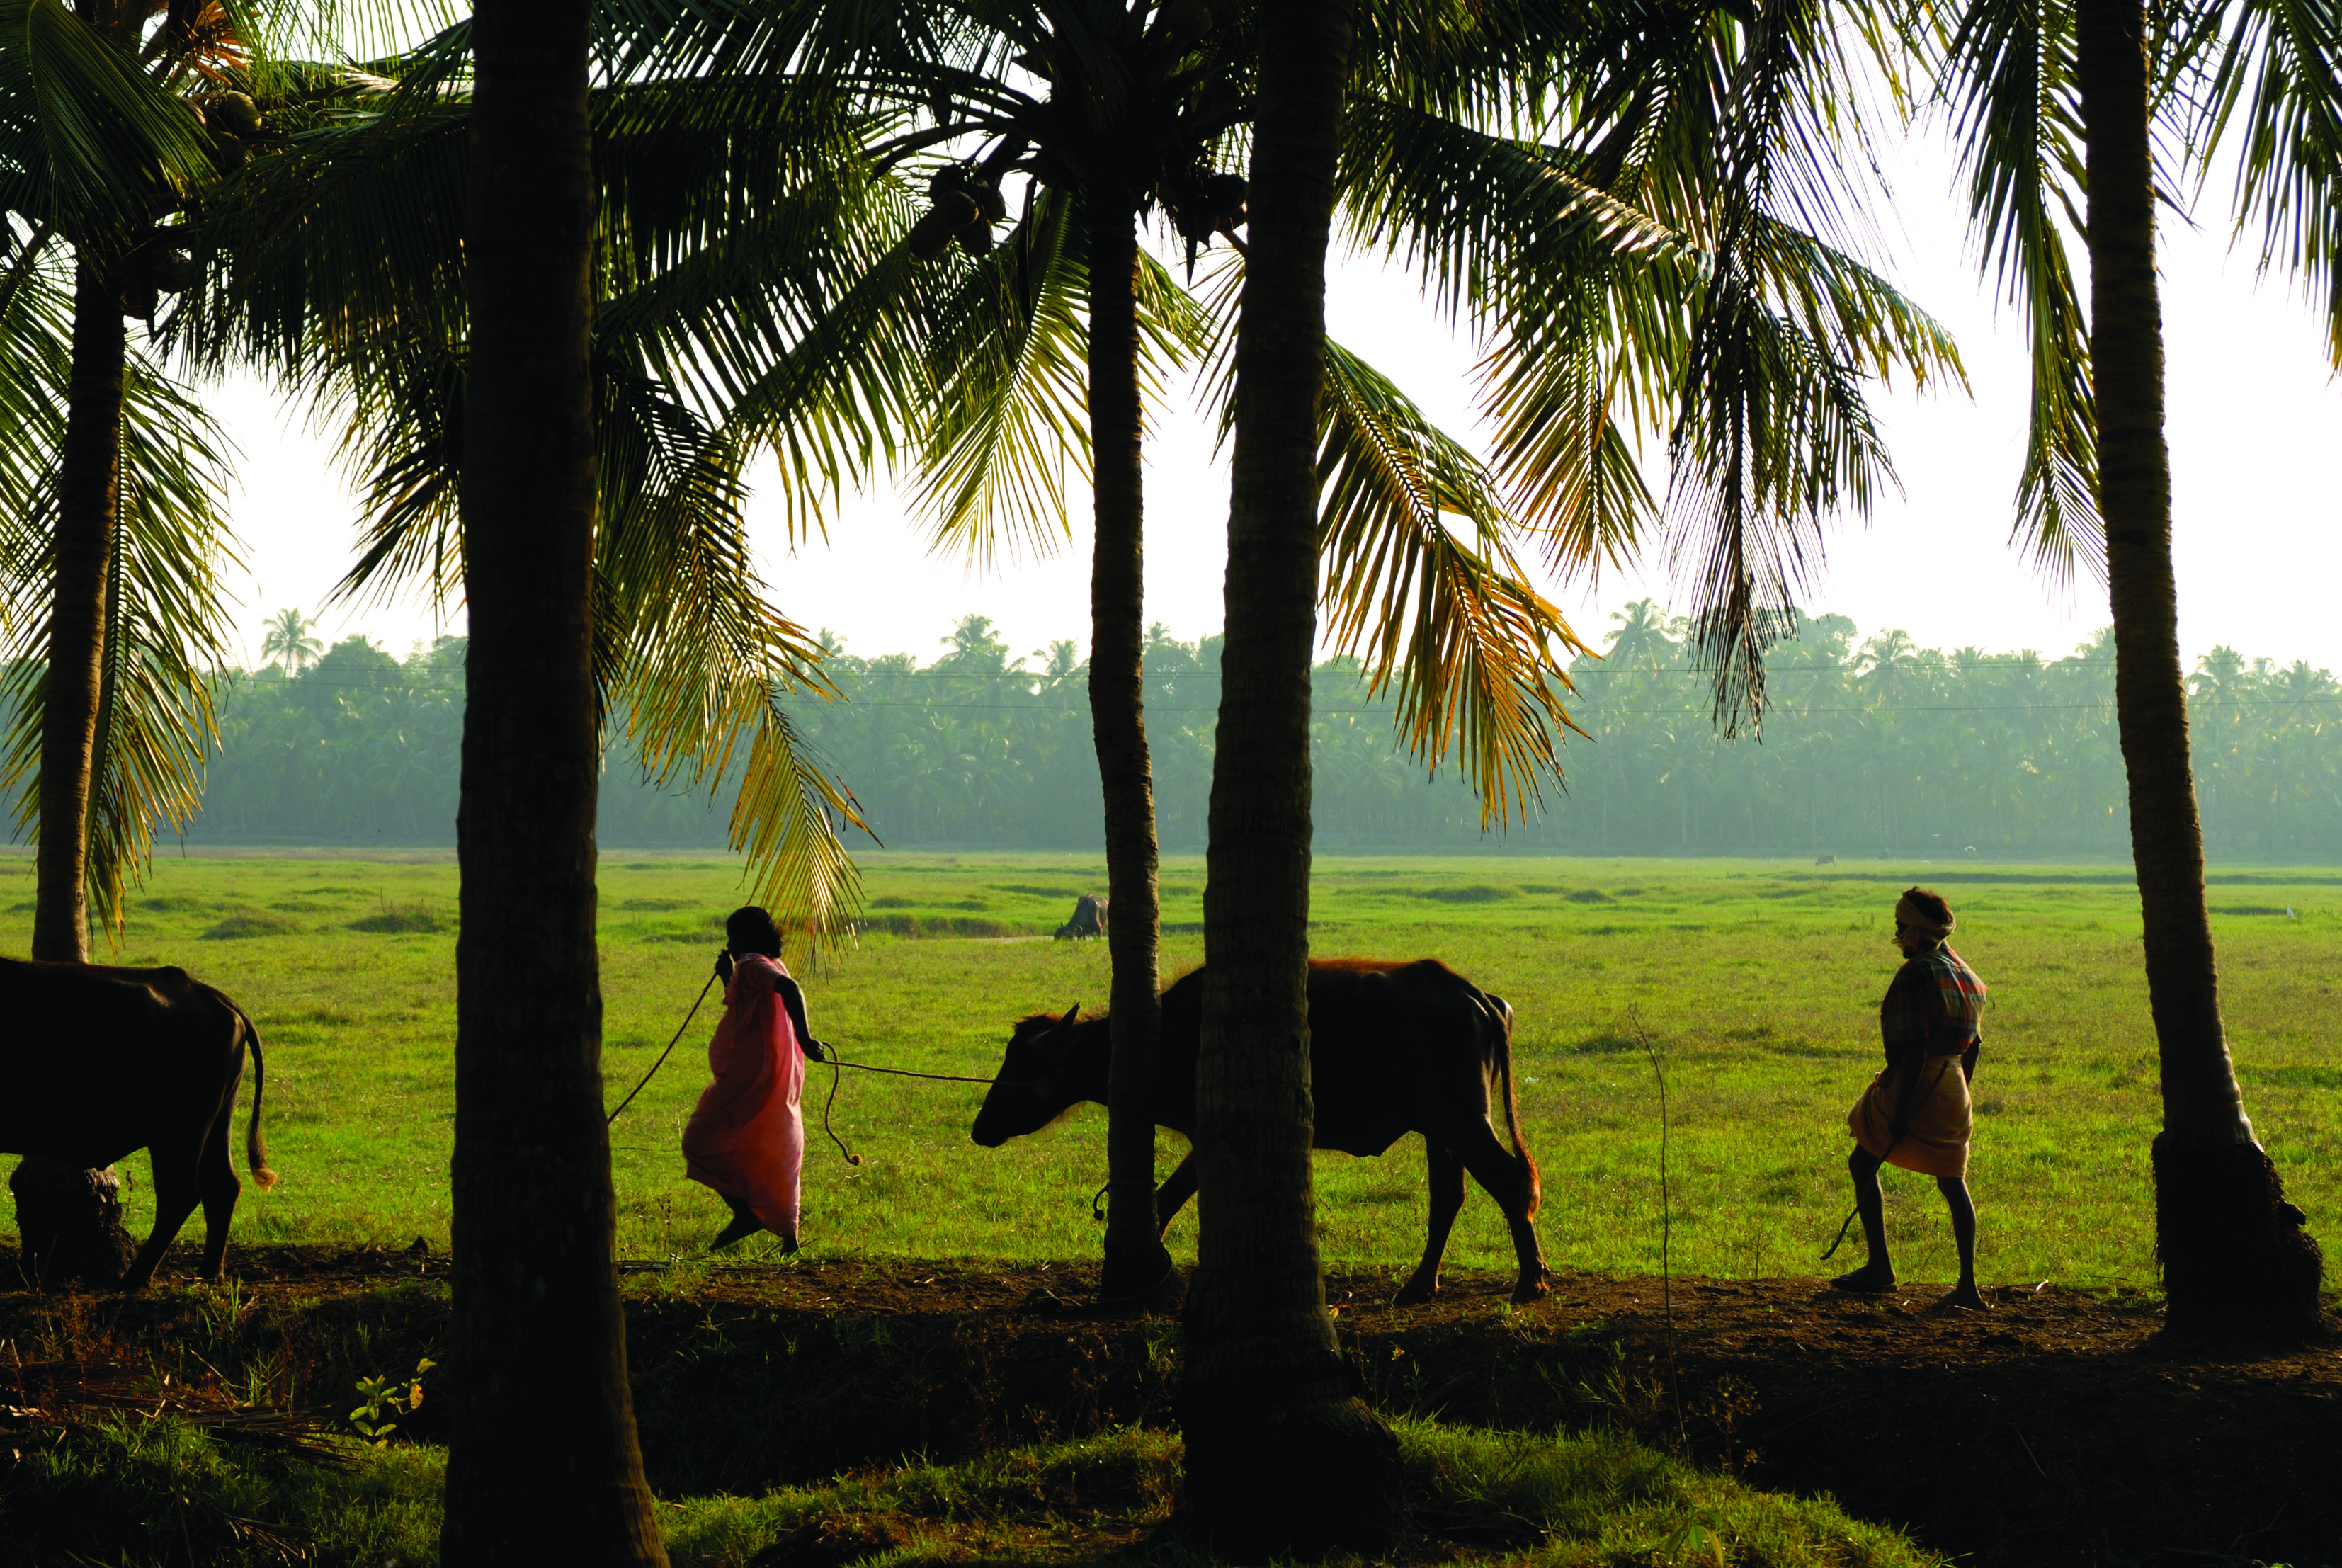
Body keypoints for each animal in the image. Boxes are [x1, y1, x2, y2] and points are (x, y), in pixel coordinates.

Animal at [1, 956, 276, 1284]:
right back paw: (209, 1273)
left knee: (180, 1194)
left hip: (178, 1131)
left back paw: (135, 1278)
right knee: (222, 1185)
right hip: (218, 1119)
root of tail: (205, 992)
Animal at [960, 960, 1545, 1303]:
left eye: (1021, 1066)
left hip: (1462, 1120)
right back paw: (1420, 1285)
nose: (981, 1126)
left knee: (1510, 1181)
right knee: (1449, 1197)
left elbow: (1169, 1200)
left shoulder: (1207, 1133)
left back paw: (1529, 1281)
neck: (1172, 1033)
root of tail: (1475, 995)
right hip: (1440, 1128)